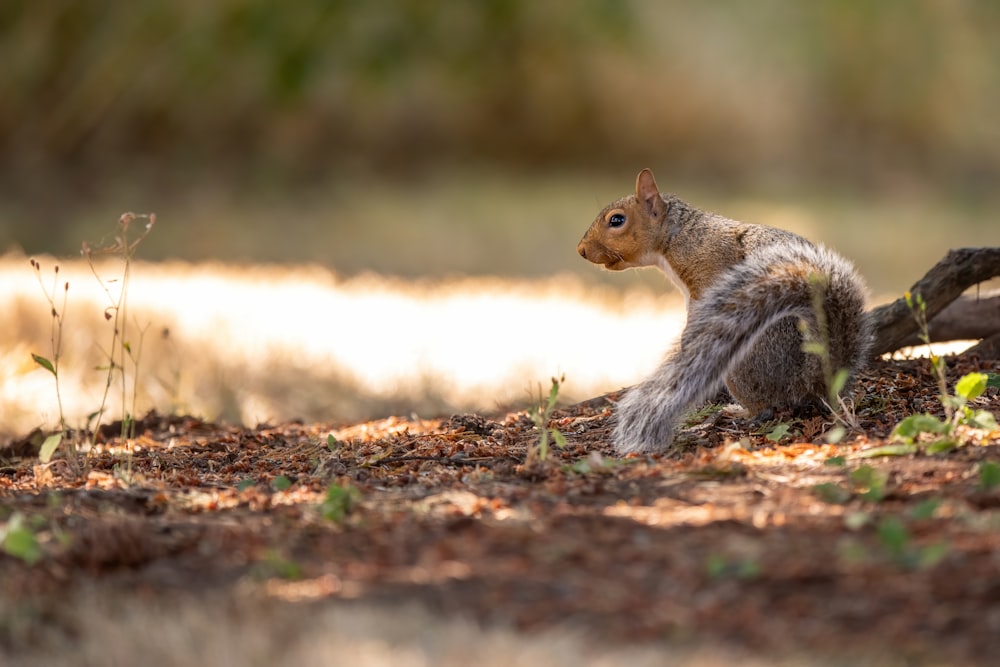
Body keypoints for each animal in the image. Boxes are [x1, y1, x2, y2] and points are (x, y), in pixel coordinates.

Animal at [576, 170, 872, 456]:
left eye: (617, 220)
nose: (581, 250)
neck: (678, 235)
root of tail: (812, 382)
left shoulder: (713, 269)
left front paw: (688, 339)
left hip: (741, 367)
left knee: (768, 407)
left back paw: (738, 411)